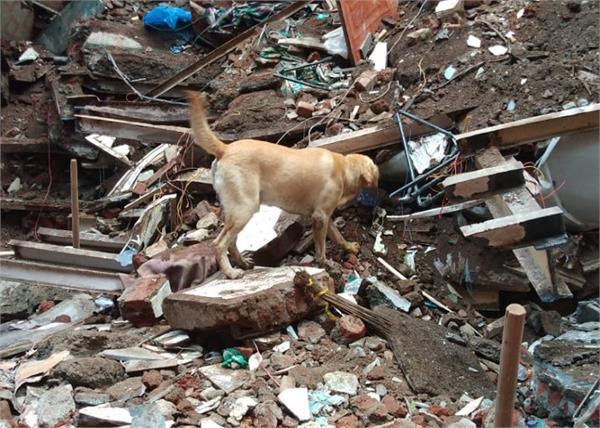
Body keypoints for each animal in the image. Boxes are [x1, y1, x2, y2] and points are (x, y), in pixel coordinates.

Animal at [188, 92, 378, 280]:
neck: (343, 168)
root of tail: (225, 149)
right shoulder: (321, 216)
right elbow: (321, 245)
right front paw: (326, 263)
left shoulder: (323, 216)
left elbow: (337, 235)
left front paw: (349, 247)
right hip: (245, 209)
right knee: (219, 244)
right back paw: (231, 272)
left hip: (235, 211)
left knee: (232, 242)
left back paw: (242, 263)